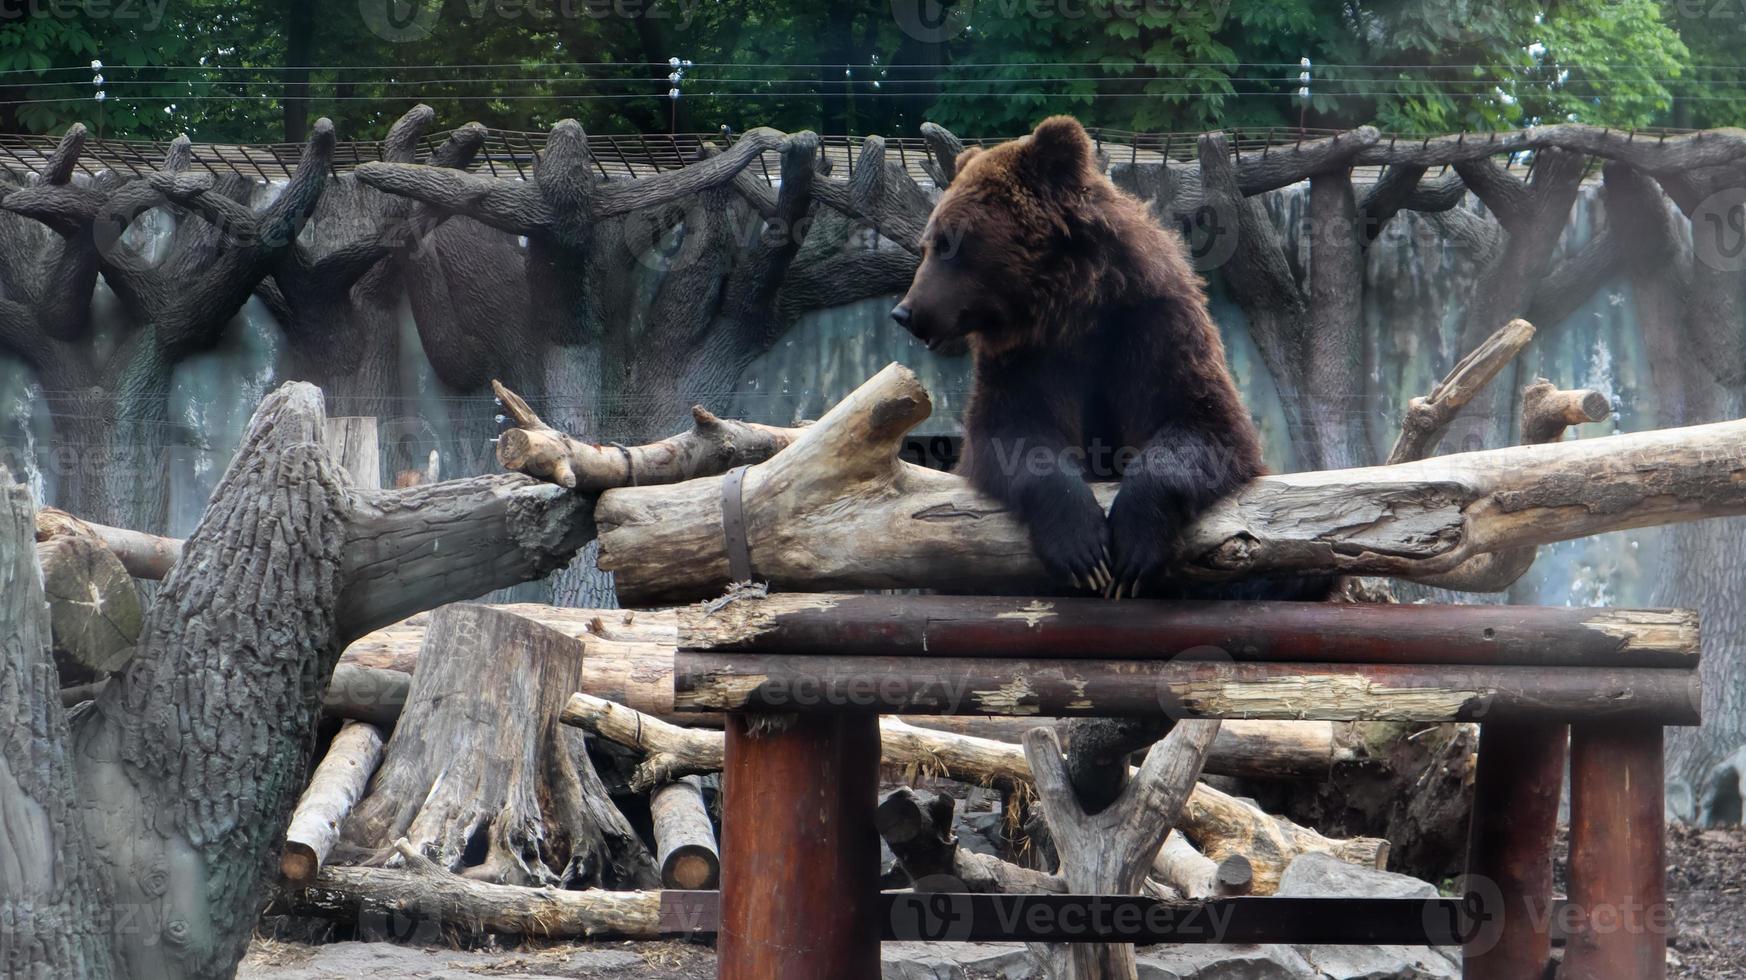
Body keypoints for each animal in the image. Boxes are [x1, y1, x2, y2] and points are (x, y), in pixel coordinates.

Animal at [900, 118, 1271, 600]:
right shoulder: (1028, 358)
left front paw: (1133, 546)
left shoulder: (1152, 325)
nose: (906, 311)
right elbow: (1013, 433)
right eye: (927, 243)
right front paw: (1084, 550)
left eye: (948, 244)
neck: (1073, 306)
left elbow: (1204, 423)